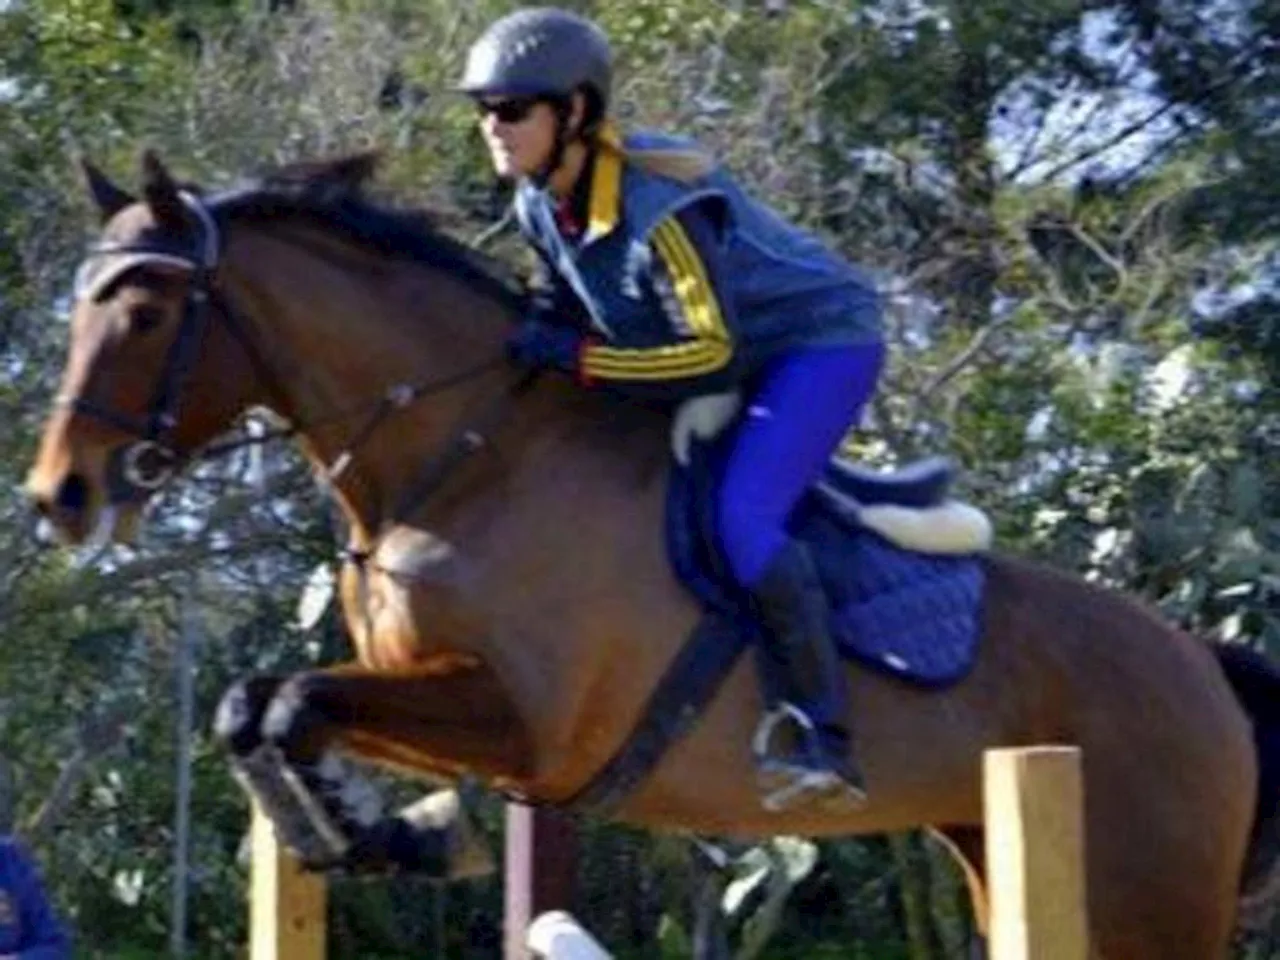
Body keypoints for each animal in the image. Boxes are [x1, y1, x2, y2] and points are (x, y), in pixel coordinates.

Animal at [22, 154, 1280, 957]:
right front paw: (383, 830)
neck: (468, 459)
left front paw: (380, 829)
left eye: (144, 312)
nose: (56, 497)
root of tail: (1198, 662)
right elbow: (259, 705)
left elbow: (284, 703)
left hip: (1144, 899)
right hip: (993, 845)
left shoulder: (528, 727)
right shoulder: (425, 695)